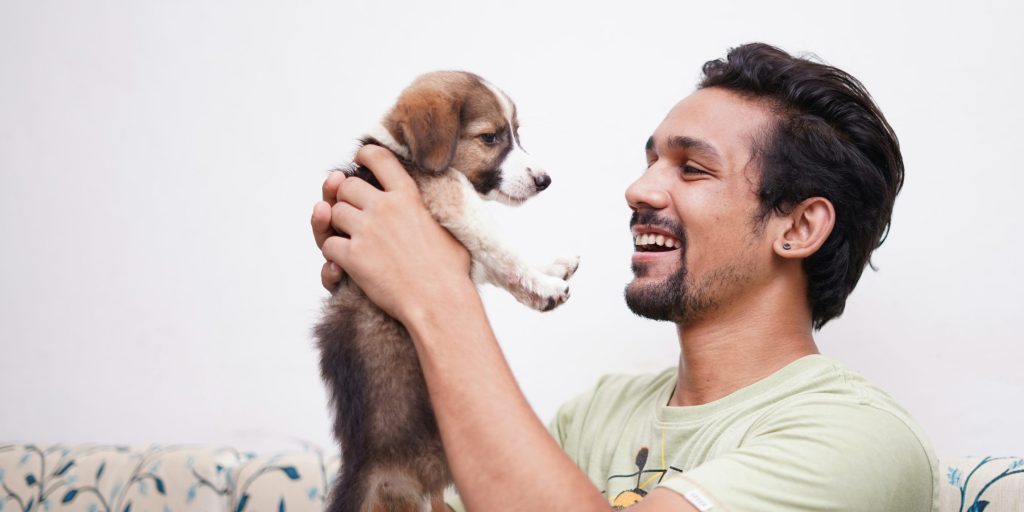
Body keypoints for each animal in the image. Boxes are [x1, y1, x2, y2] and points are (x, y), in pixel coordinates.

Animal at [316, 71, 579, 512]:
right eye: (490, 137)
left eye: (517, 133)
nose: (545, 180)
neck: (403, 152)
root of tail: (367, 466)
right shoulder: (453, 197)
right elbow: (500, 247)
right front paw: (544, 284)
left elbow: (492, 264)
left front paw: (549, 269)